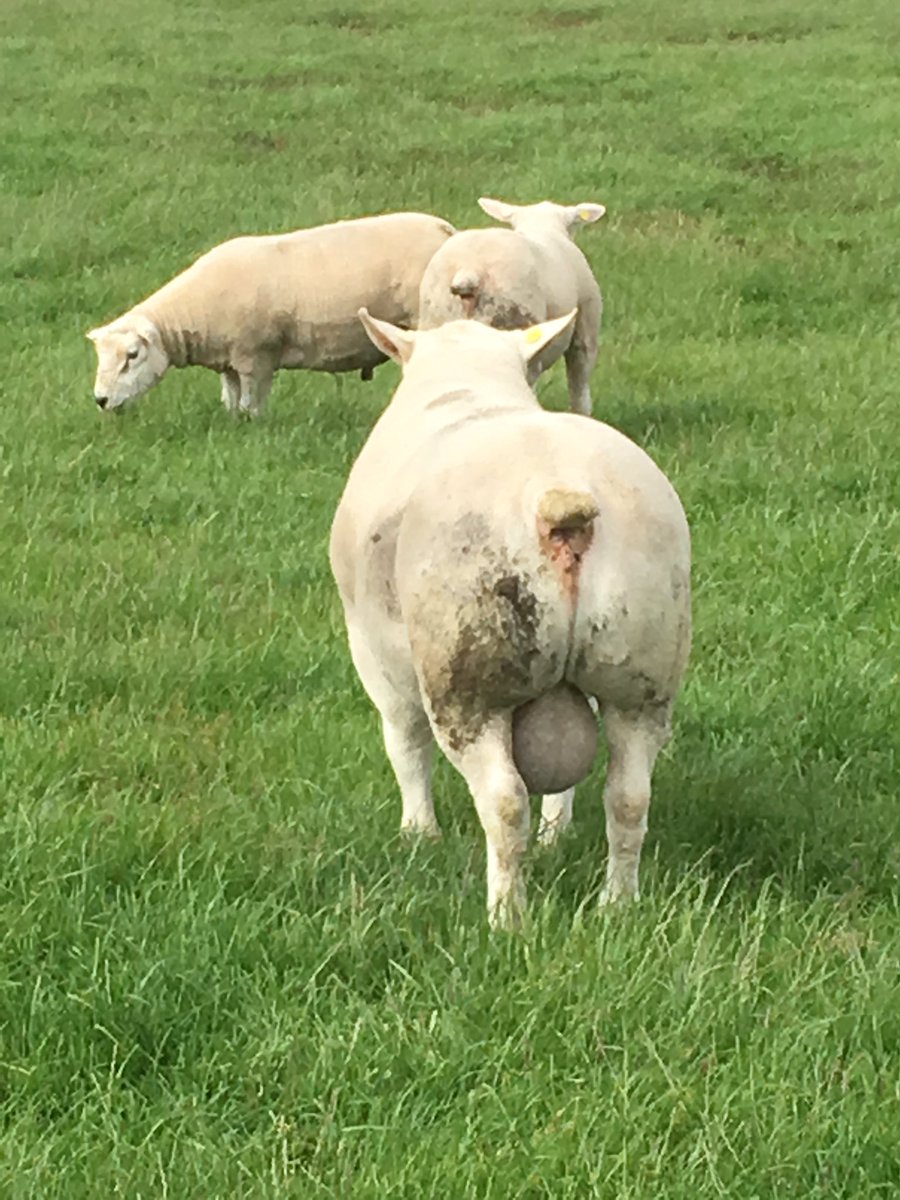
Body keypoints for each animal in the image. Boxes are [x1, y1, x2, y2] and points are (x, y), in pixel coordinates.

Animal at [86, 211, 455, 416]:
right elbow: (231, 400)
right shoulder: (229, 360)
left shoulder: (256, 356)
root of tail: (446, 230)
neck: (195, 311)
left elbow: (252, 404)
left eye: (132, 355)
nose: (100, 400)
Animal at [329, 308, 691, 929]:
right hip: (642, 672)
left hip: (468, 675)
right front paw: (557, 833)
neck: (466, 384)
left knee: (501, 801)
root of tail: (561, 500)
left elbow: (404, 743)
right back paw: (616, 905)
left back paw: (506, 917)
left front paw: (418, 835)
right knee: (628, 797)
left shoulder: (374, 653)